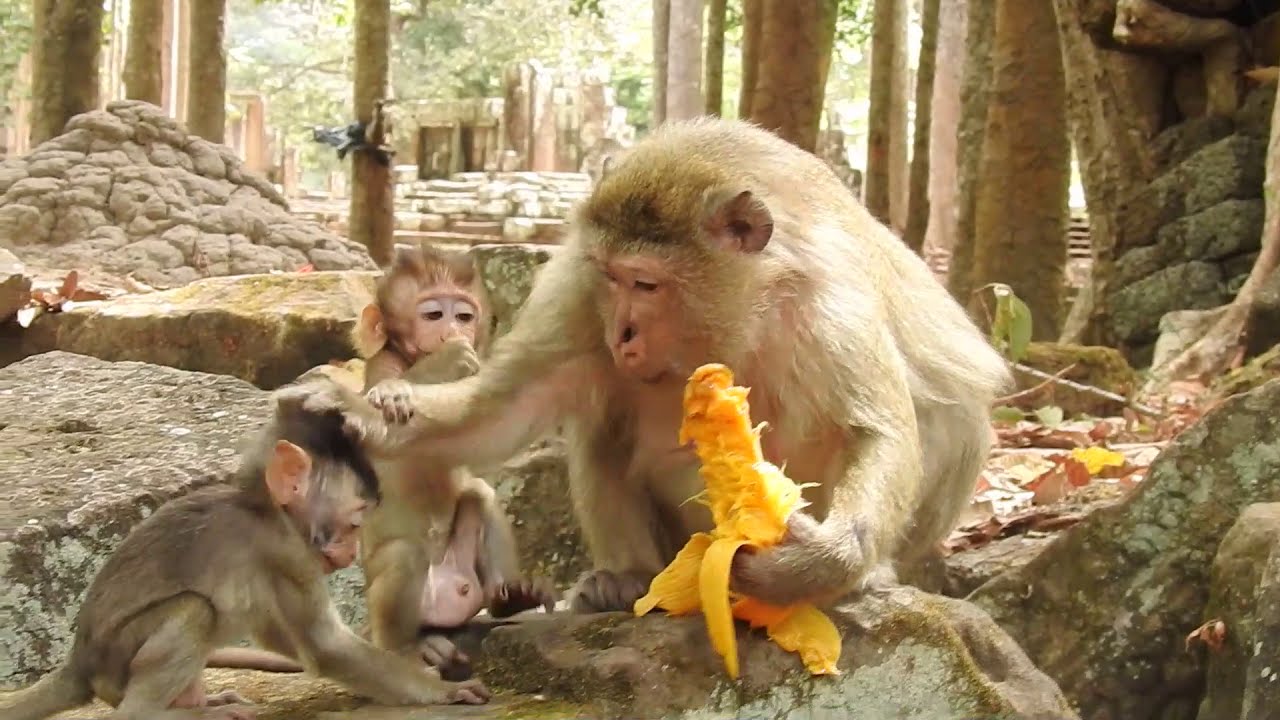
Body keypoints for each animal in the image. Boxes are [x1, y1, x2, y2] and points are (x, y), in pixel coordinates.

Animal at [0, 377, 490, 720]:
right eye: (354, 523)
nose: (352, 553)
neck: (265, 508)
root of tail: (80, 663)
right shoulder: (286, 552)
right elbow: (325, 647)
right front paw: (444, 690)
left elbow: (280, 633)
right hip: (116, 662)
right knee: (194, 611)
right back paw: (164, 712)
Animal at [343, 117, 1012, 617]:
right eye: (612, 277)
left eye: (647, 283)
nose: (621, 333)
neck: (740, 310)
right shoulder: (578, 291)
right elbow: (506, 407)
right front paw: (378, 417)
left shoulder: (829, 303)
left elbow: (876, 431)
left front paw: (825, 565)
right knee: (599, 426)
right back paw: (627, 578)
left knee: (957, 414)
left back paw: (874, 572)